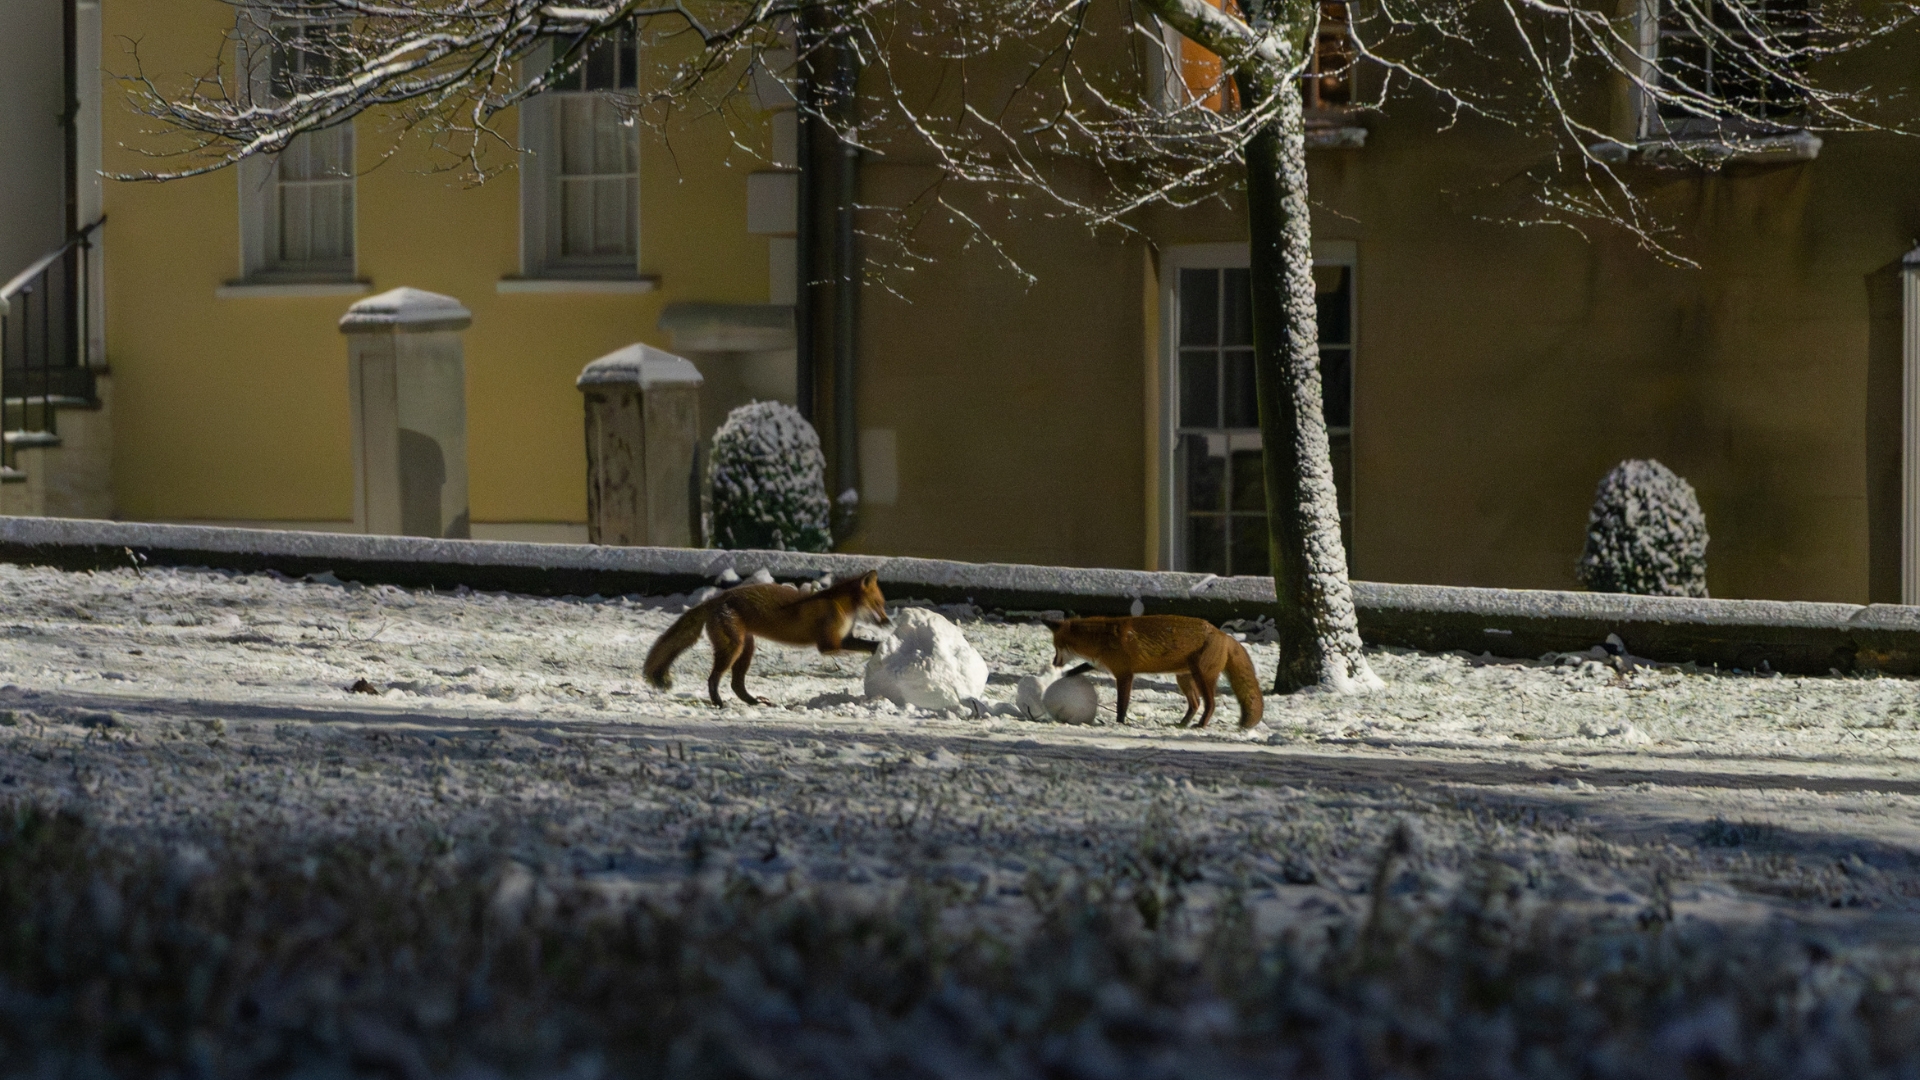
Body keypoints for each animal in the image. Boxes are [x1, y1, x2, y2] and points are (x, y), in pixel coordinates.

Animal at [644, 571, 891, 707]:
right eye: (878, 604)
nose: (888, 622)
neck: (840, 608)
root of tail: (717, 599)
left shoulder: (843, 639)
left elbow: (865, 643)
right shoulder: (829, 644)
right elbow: (865, 644)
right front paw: (881, 646)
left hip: (746, 649)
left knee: (736, 684)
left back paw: (753, 702)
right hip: (733, 649)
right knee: (713, 679)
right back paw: (719, 703)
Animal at [1044, 614, 1264, 730]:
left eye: (1056, 647)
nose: (1054, 662)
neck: (1101, 638)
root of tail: (1224, 634)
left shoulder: (1125, 674)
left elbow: (1122, 704)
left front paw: (1120, 723)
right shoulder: (1103, 664)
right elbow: (1082, 667)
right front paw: (1068, 674)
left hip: (1201, 677)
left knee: (1210, 704)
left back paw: (1200, 725)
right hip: (1184, 679)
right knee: (1195, 704)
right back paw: (1181, 724)